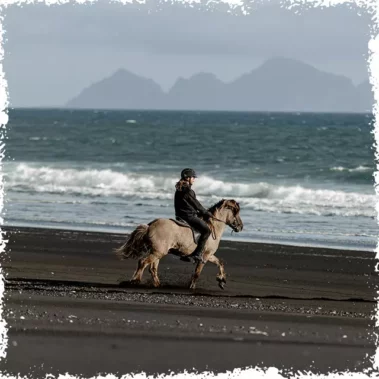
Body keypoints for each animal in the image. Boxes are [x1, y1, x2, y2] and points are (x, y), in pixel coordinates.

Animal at [114, 199, 243, 290]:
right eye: (236, 212)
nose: (241, 227)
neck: (213, 227)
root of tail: (151, 226)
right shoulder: (205, 255)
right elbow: (197, 273)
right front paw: (191, 287)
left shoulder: (208, 255)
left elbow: (219, 262)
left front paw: (221, 280)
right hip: (158, 252)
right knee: (143, 262)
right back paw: (135, 281)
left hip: (157, 252)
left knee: (152, 268)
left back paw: (157, 284)